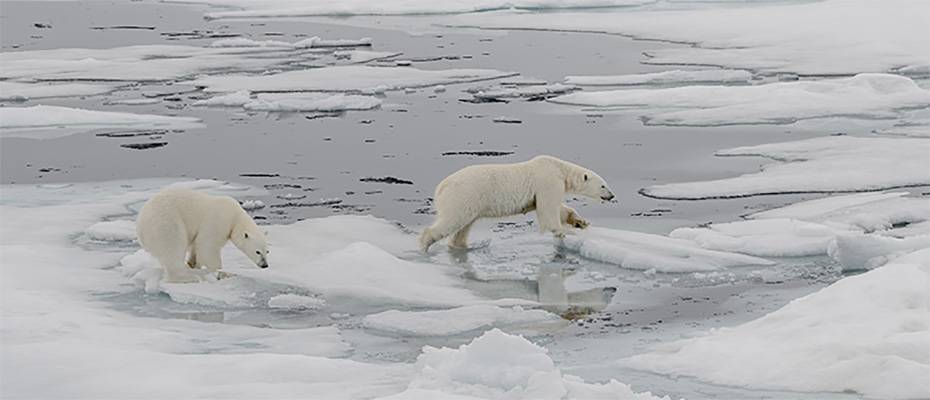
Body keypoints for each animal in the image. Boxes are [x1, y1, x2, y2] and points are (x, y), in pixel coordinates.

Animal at [137, 187, 268, 282]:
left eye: (267, 251)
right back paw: (188, 277)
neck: (235, 216)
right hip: (165, 222)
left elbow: (197, 246)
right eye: (257, 252)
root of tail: (140, 226)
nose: (265, 265)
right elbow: (207, 246)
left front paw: (193, 264)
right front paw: (225, 273)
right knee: (173, 247)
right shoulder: (218, 220)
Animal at [420, 155, 616, 252]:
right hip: (463, 196)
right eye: (603, 185)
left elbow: (557, 208)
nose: (612, 195)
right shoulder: (548, 180)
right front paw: (564, 231)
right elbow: (548, 209)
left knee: (463, 226)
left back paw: (460, 246)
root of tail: (441, 187)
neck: (559, 169)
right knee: (452, 221)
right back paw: (424, 245)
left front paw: (580, 222)